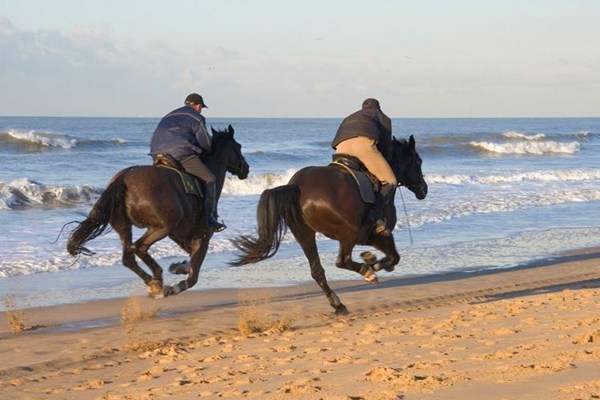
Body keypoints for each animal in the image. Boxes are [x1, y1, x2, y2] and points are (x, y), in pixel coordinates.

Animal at [67, 125, 248, 296]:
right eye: (238, 147)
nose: (246, 168)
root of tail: (121, 179)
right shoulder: (202, 237)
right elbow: (193, 276)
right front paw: (177, 284)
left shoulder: (180, 235)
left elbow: (190, 257)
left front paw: (179, 266)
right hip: (162, 227)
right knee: (139, 248)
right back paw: (158, 282)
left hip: (127, 226)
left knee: (128, 258)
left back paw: (152, 282)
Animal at [230, 136, 426, 314]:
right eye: (418, 161)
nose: (424, 189)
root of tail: (296, 186)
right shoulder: (378, 233)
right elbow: (394, 257)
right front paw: (373, 263)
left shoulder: (368, 236)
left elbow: (391, 257)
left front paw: (371, 259)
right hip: (348, 233)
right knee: (342, 261)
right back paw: (367, 273)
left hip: (305, 235)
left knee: (317, 271)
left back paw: (338, 304)